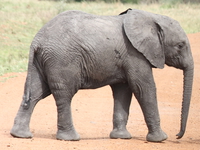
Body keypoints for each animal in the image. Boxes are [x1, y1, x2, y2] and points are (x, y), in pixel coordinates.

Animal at [9, 8, 194, 142]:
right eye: (180, 45)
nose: (178, 136)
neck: (151, 17)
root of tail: (36, 41)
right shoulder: (135, 54)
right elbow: (143, 88)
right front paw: (160, 139)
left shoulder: (126, 59)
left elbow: (123, 91)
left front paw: (121, 137)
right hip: (61, 59)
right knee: (64, 95)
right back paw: (70, 139)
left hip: (41, 62)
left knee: (36, 93)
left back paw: (20, 135)